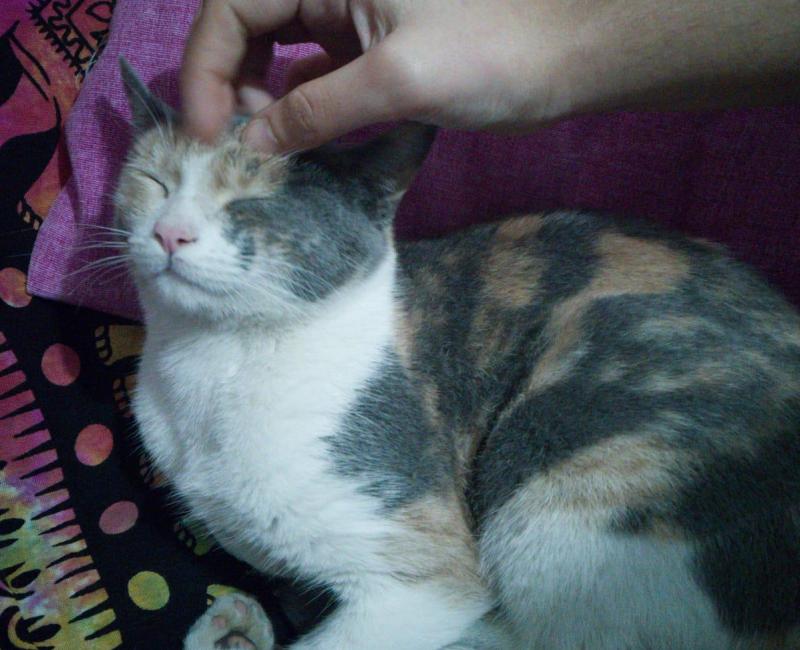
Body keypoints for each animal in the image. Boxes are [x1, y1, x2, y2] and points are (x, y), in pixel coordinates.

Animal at [115, 59, 800, 649]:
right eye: (153, 182)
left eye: (250, 202)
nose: (170, 232)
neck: (208, 366)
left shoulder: (422, 571)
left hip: (559, 466)